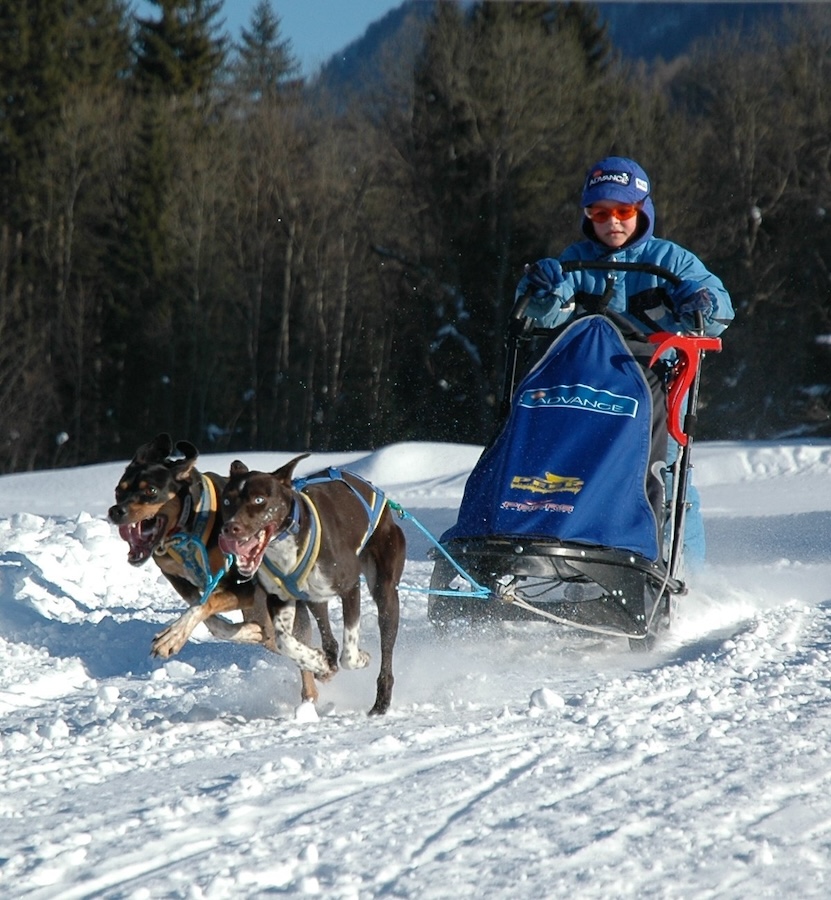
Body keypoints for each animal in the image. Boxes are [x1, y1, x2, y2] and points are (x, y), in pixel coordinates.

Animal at [107, 432, 332, 708]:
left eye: (150, 490)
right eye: (119, 491)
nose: (116, 511)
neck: (190, 525)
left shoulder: (244, 587)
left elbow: (202, 606)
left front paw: (172, 637)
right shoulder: (179, 579)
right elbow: (209, 616)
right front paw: (247, 632)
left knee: (304, 645)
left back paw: (313, 686)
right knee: (275, 639)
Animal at [218, 458, 406, 716]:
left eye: (258, 500)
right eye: (227, 501)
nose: (230, 528)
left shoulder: (350, 587)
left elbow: (349, 653)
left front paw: (361, 657)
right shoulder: (279, 598)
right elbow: (284, 641)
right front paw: (317, 662)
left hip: (385, 591)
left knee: (386, 646)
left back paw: (381, 701)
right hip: (313, 597)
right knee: (328, 635)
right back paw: (327, 662)